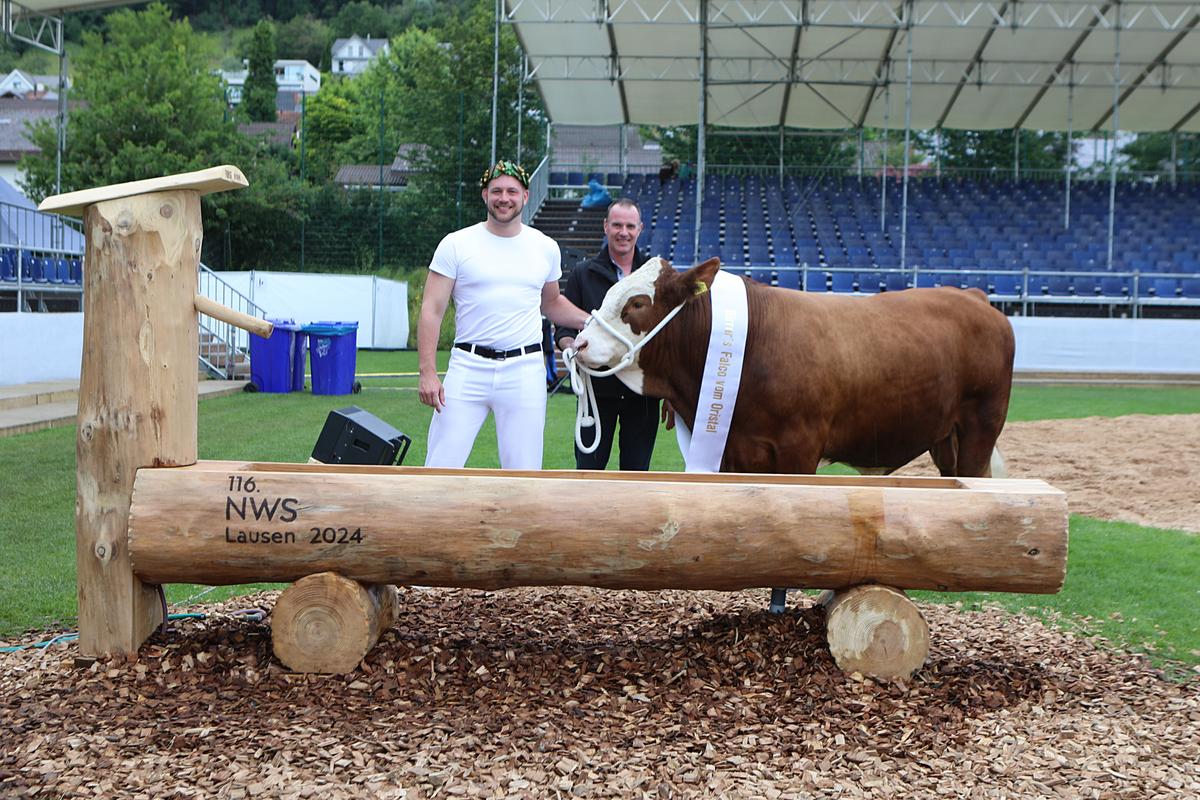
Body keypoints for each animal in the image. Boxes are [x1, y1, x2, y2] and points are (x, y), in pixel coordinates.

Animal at [568, 256, 1012, 474]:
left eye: (637, 304)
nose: (578, 344)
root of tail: (972, 295)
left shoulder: (800, 449)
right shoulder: (735, 452)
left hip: (980, 427)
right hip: (944, 438)